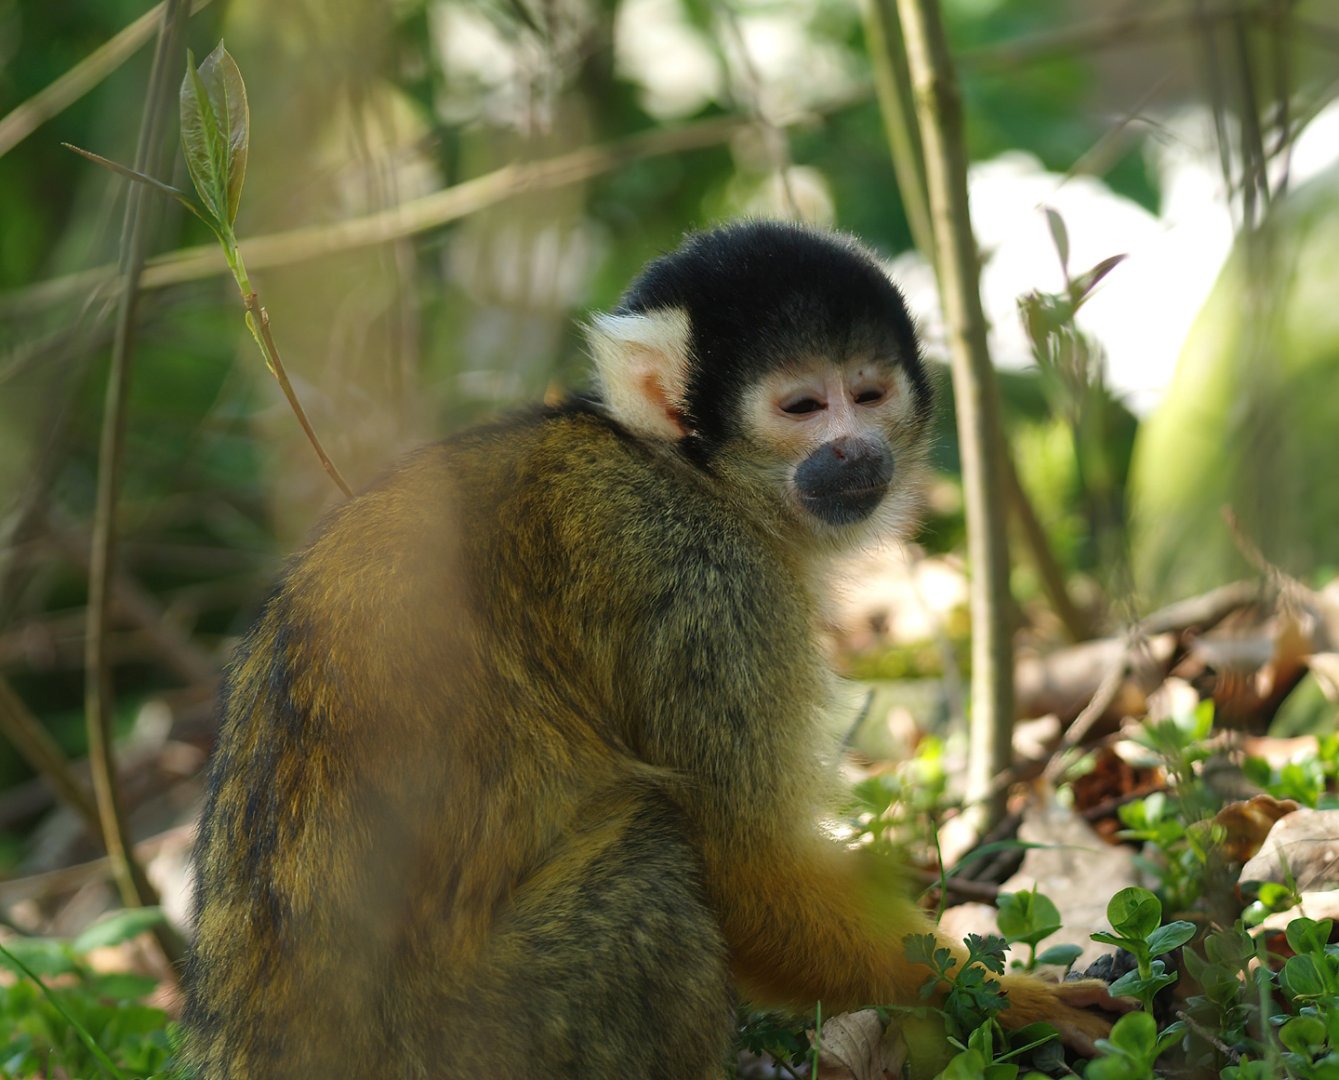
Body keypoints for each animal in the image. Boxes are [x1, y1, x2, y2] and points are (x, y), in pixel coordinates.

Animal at [182, 220, 1117, 1078]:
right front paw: (1013, 1002)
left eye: (868, 391)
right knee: (651, 851)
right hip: (476, 1036)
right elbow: (747, 868)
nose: (855, 449)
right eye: (802, 408)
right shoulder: (701, 583)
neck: (680, 470)